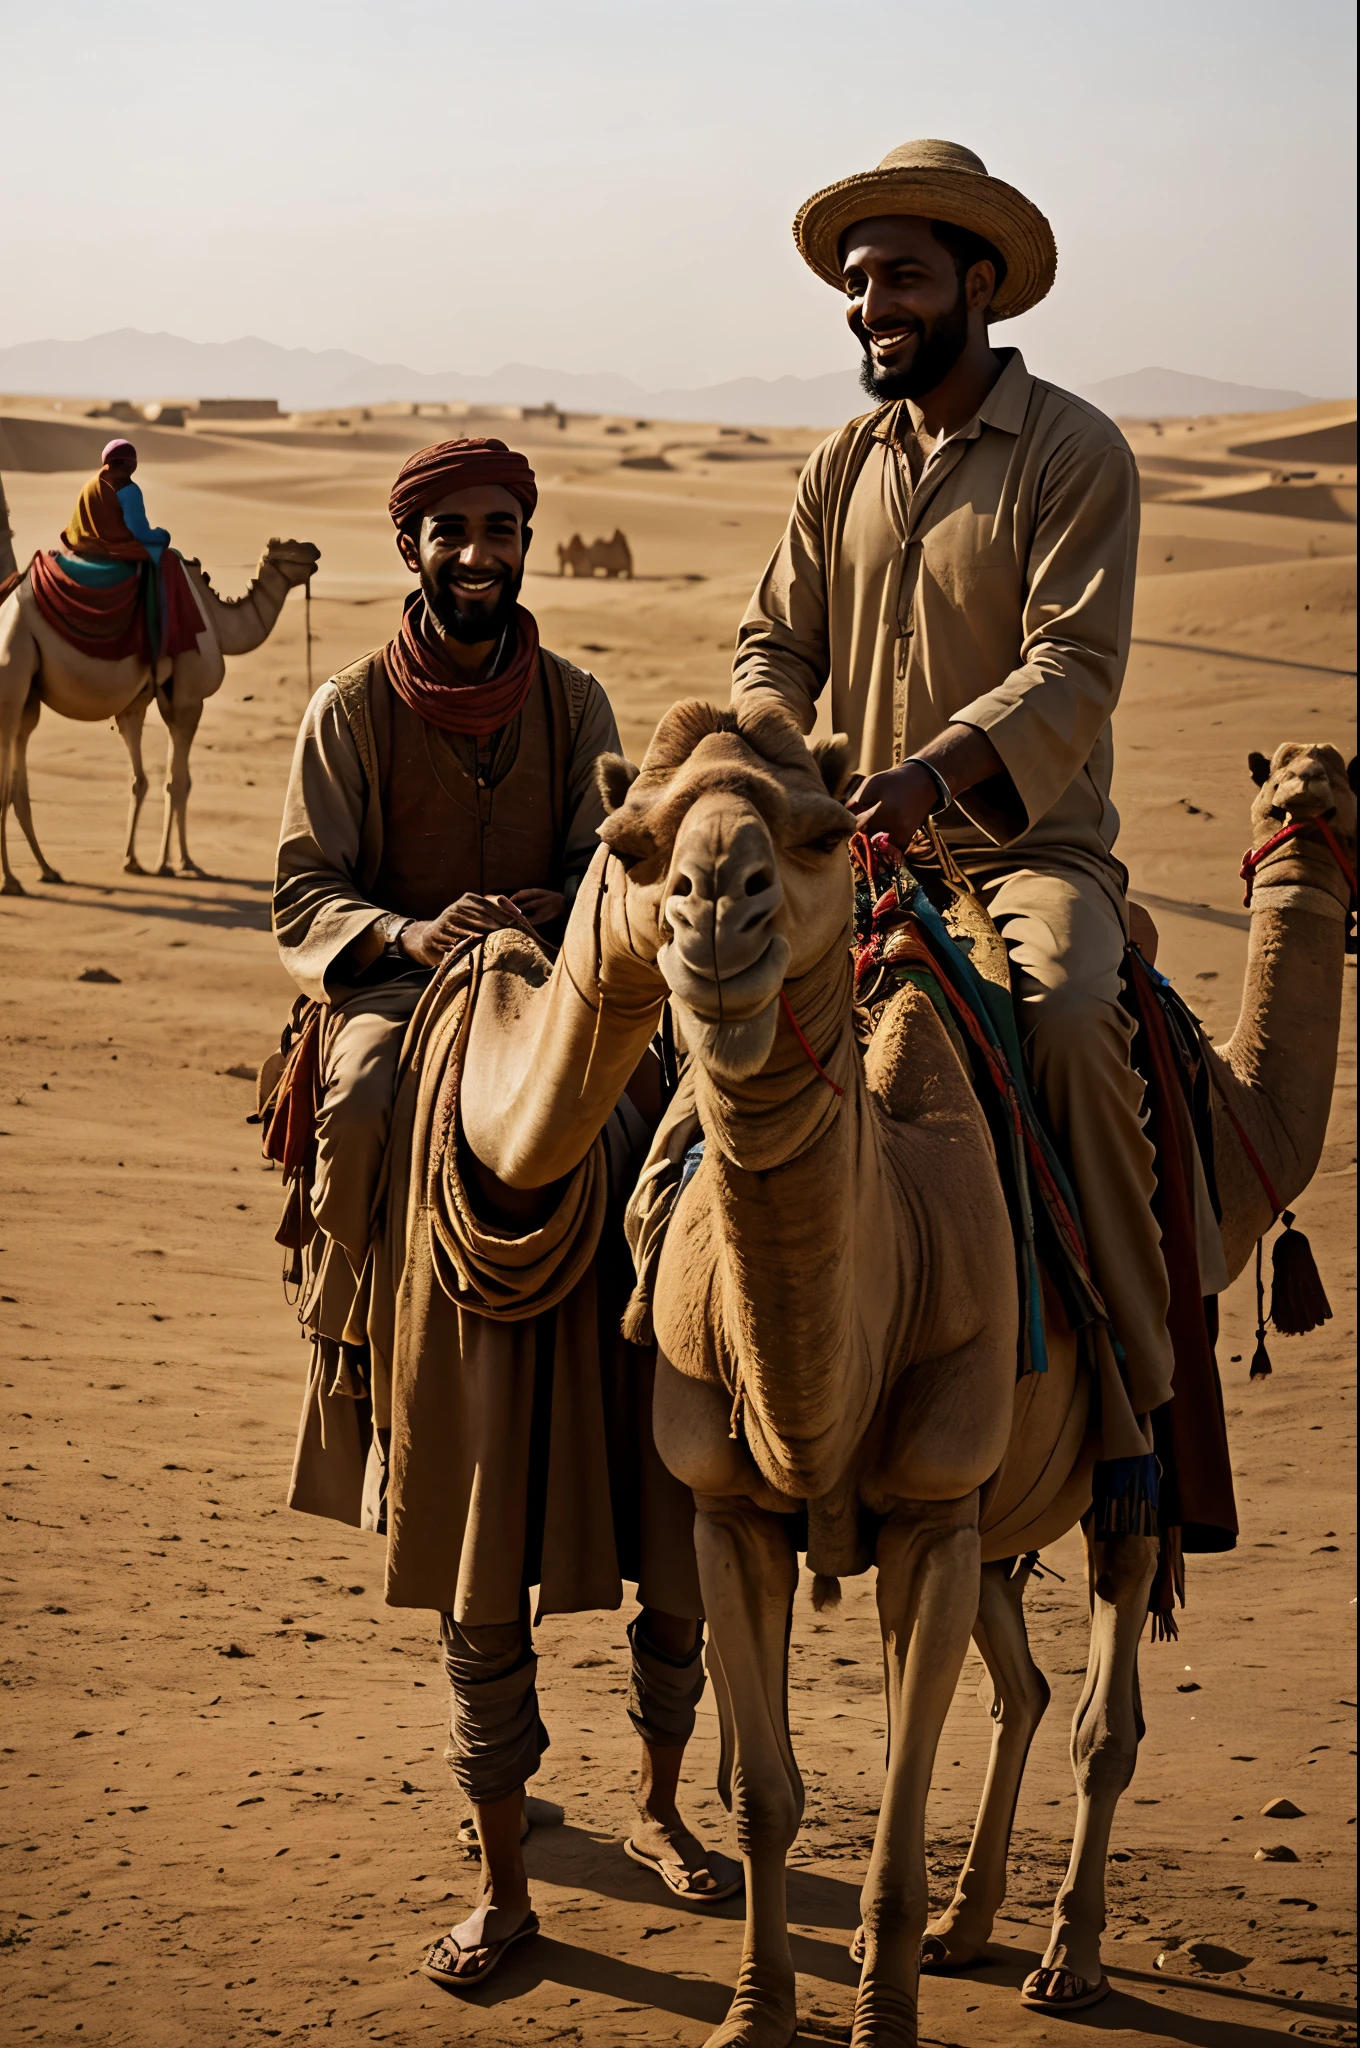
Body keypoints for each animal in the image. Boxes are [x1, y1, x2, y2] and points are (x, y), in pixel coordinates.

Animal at [0, 536, 321, 897]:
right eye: (292, 546)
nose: (315, 550)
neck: (217, 622)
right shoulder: (188, 700)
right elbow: (178, 782)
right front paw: (176, 863)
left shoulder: (138, 703)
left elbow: (141, 779)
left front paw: (136, 861)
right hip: (14, 661)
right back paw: (10, 880)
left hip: (29, 695)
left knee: (18, 772)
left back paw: (46, 870)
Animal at [444, 708, 1351, 2048]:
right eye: (632, 842)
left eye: (824, 832)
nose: (718, 909)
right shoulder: (734, 1514)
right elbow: (771, 1794)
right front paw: (756, 2012)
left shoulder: (927, 1516)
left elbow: (898, 1797)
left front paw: (880, 2019)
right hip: (990, 1513)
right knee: (1024, 1686)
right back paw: (967, 1928)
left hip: (1130, 1443)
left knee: (1104, 1711)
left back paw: (1066, 1957)